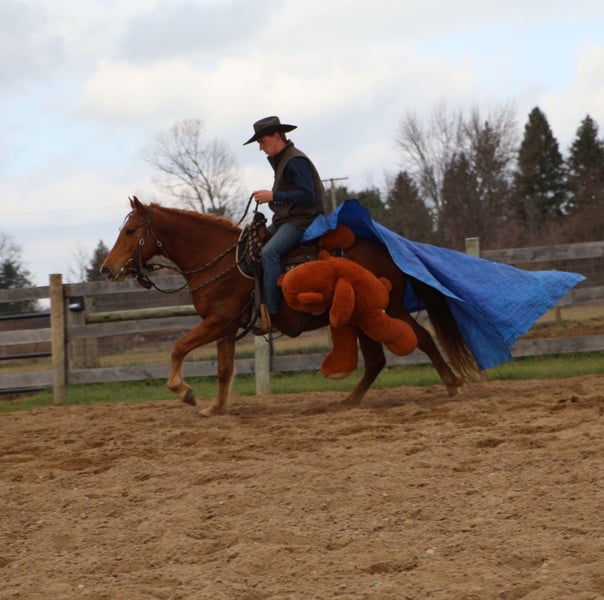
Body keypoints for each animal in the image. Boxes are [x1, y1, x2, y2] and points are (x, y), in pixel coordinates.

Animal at [101, 196, 478, 416]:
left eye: (131, 231)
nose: (107, 268)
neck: (221, 259)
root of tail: (388, 249)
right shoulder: (225, 326)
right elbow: (224, 369)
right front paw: (216, 408)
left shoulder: (217, 321)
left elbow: (178, 348)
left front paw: (186, 393)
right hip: (360, 319)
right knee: (376, 360)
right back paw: (349, 401)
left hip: (389, 311)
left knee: (422, 340)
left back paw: (452, 385)